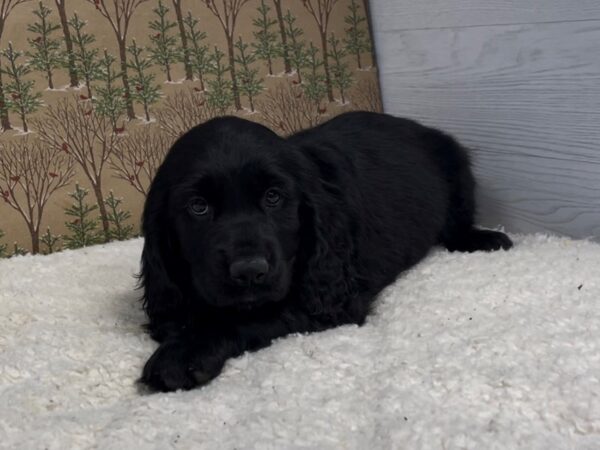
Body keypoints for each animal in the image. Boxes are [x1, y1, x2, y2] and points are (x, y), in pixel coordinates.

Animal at [139, 111, 510, 390]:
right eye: (198, 206)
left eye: (273, 197)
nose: (250, 271)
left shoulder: (329, 298)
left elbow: (249, 315)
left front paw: (183, 353)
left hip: (457, 167)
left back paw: (485, 239)